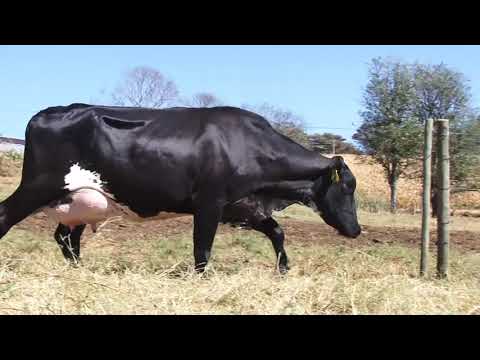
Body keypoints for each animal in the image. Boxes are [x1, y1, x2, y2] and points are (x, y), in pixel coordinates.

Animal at [0, 104, 360, 272]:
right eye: (347, 188)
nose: (357, 230)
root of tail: (50, 112)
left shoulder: (241, 206)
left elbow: (277, 232)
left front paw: (283, 269)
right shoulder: (210, 203)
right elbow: (203, 247)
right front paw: (202, 279)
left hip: (83, 200)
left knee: (66, 237)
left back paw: (81, 270)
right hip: (39, 185)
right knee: (6, 215)